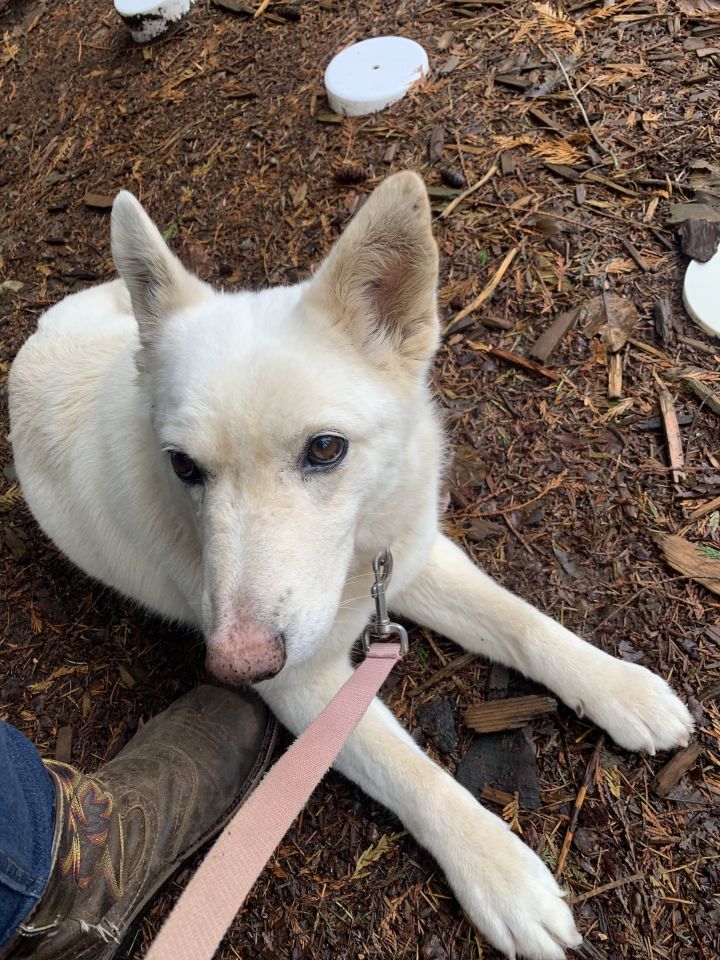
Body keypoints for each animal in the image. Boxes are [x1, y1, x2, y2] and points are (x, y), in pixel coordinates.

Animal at [8, 174, 696, 960]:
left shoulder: (412, 558)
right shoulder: (305, 687)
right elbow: (410, 771)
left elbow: (522, 623)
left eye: (326, 449)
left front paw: (619, 687)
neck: (358, 559)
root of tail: (34, 337)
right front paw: (499, 872)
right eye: (183, 467)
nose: (235, 666)